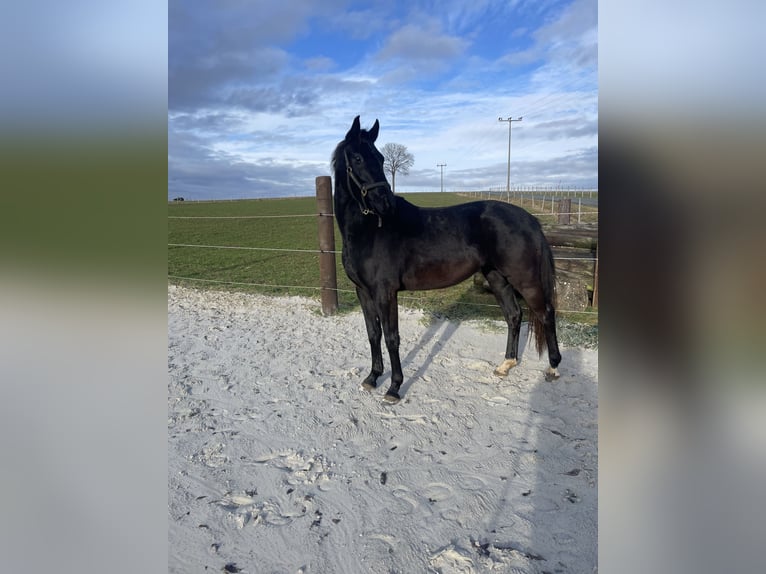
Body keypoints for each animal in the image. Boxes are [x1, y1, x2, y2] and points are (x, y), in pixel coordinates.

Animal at [332, 116, 561, 403]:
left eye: (381, 158)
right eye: (358, 158)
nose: (386, 204)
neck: (370, 230)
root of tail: (530, 219)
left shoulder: (385, 291)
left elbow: (392, 337)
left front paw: (394, 387)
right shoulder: (363, 291)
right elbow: (373, 334)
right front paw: (372, 378)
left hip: (525, 279)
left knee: (546, 314)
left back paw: (553, 368)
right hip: (497, 277)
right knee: (514, 315)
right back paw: (505, 365)